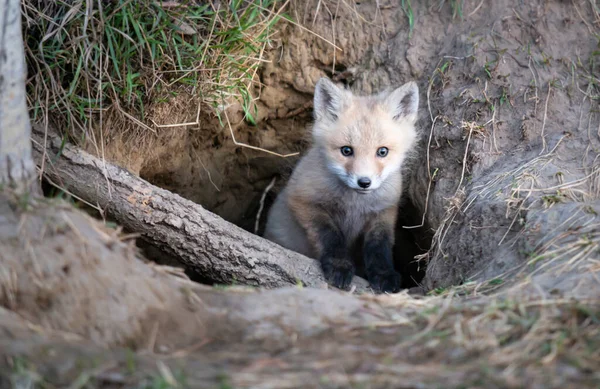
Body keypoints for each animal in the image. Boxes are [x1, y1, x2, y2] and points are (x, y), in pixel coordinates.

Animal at [264, 78, 420, 292]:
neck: (354, 205)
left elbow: (379, 247)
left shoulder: (384, 212)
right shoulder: (303, 201)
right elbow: (329, 235)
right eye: (346, 150)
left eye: (382, 152)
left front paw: (383, 274)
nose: (364, 182)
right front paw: (339, 266)